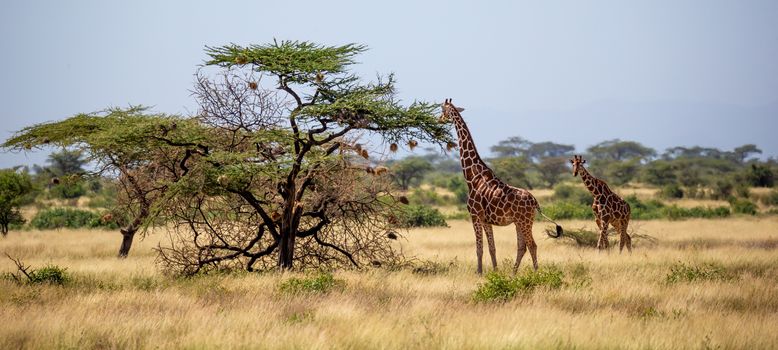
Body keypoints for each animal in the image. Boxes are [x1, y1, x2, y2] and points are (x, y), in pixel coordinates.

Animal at [436, 98, 556, 274]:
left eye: (443, 109)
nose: (439, 120)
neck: (472, 177)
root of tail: (535, 201)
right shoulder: (486, 220)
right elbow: (492, 248)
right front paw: (495, 271)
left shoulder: (475, 215)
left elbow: (479, 248)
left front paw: (479, 272)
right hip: (520, 222)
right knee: (522, 247)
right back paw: (513, 273)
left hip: (525, 221)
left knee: (532, 245)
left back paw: (536, 273)